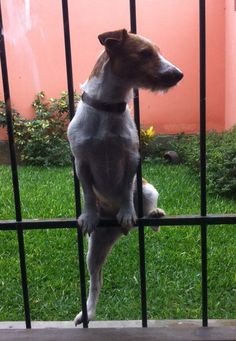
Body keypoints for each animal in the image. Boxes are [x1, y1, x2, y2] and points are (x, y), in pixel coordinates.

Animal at [67, 28, 183, 324]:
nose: (179, 74)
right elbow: (88, 192)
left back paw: (152, 215)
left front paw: (128, 211)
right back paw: (88, 311)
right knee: (96, 281)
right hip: (94, 249)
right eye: (144, 53)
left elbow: (125, 190)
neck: (107, 108)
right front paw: (89, 214)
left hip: (148, 189)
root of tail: (115, 232)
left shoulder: (132, 159)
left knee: (150, 213)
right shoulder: (81, 161)